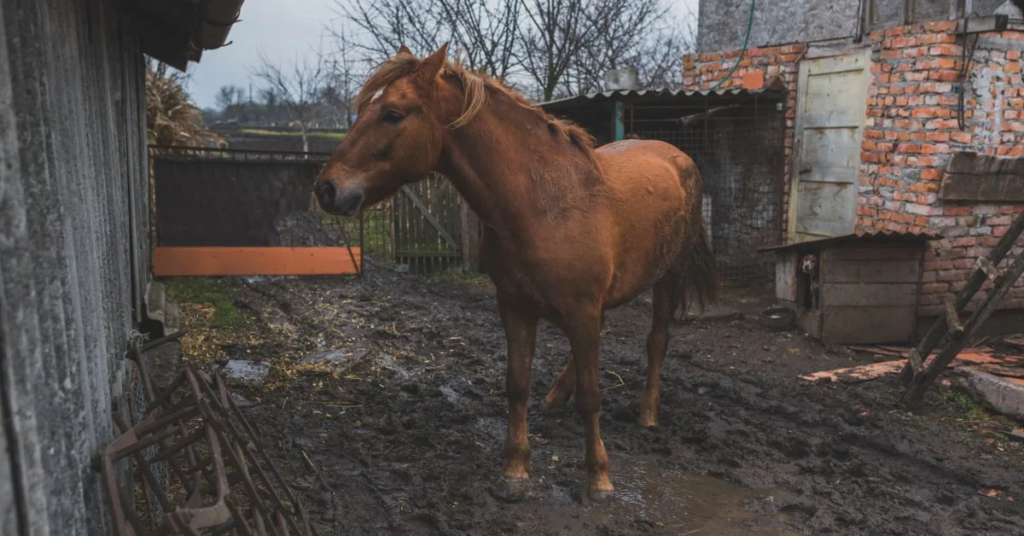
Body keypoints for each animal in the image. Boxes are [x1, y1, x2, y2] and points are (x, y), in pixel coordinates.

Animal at [313, 44, 717, 500]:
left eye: (393, 114)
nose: (326, 189)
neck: (542, 204)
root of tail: (679, 156)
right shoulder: (515, 305)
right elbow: (517, 384)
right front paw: (515, 469)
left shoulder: (581, 308)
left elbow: (592, 396)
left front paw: (598, 476)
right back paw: (557, 397)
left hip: (668, 276)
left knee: (657, 340)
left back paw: (647, 414)